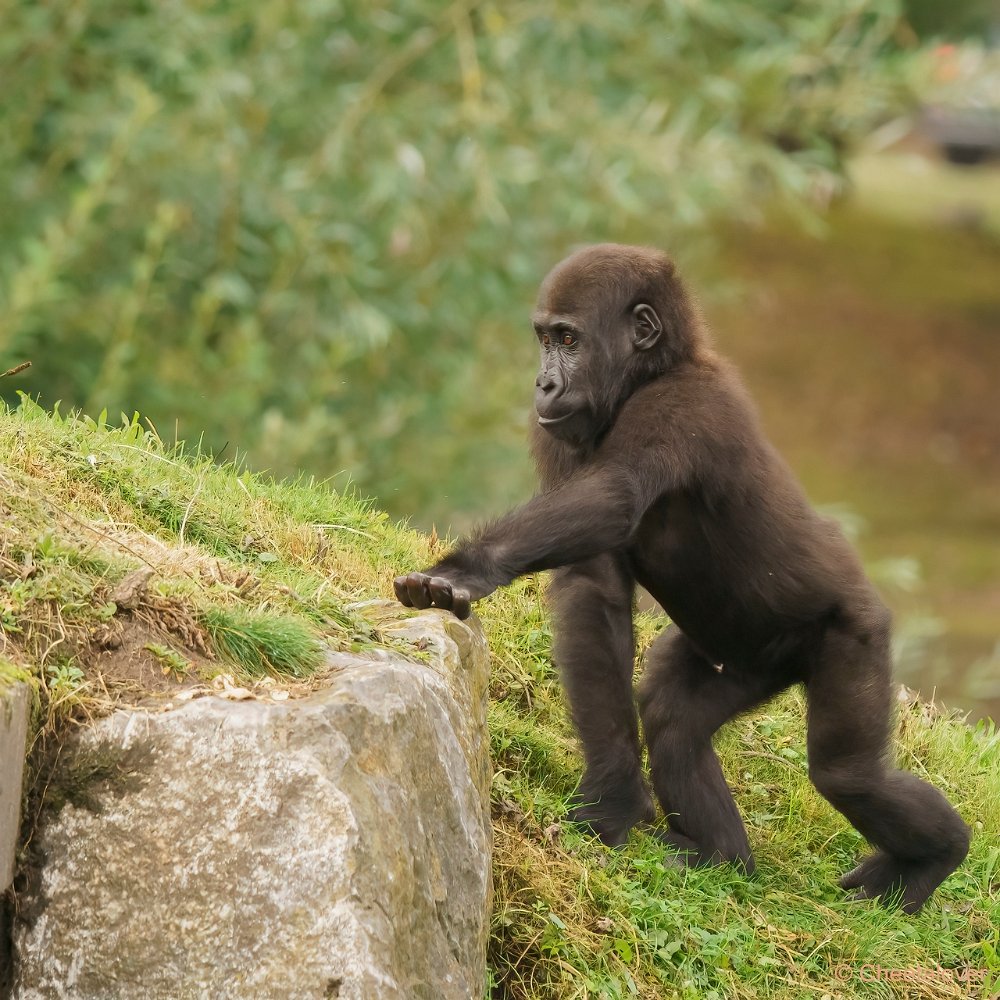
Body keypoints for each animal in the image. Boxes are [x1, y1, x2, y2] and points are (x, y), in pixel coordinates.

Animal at [392, 244, 968, 916]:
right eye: (545, 340)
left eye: (569, 340)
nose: (544, 383)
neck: (656, 370)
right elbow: (594, 588)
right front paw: (614, 794)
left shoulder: (681, 407)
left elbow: (613, 499)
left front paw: (466, 569)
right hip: (752, 661)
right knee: (676, 715)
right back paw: (719, 855)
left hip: (855, 633)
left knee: (849, 775)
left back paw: (936, 854)